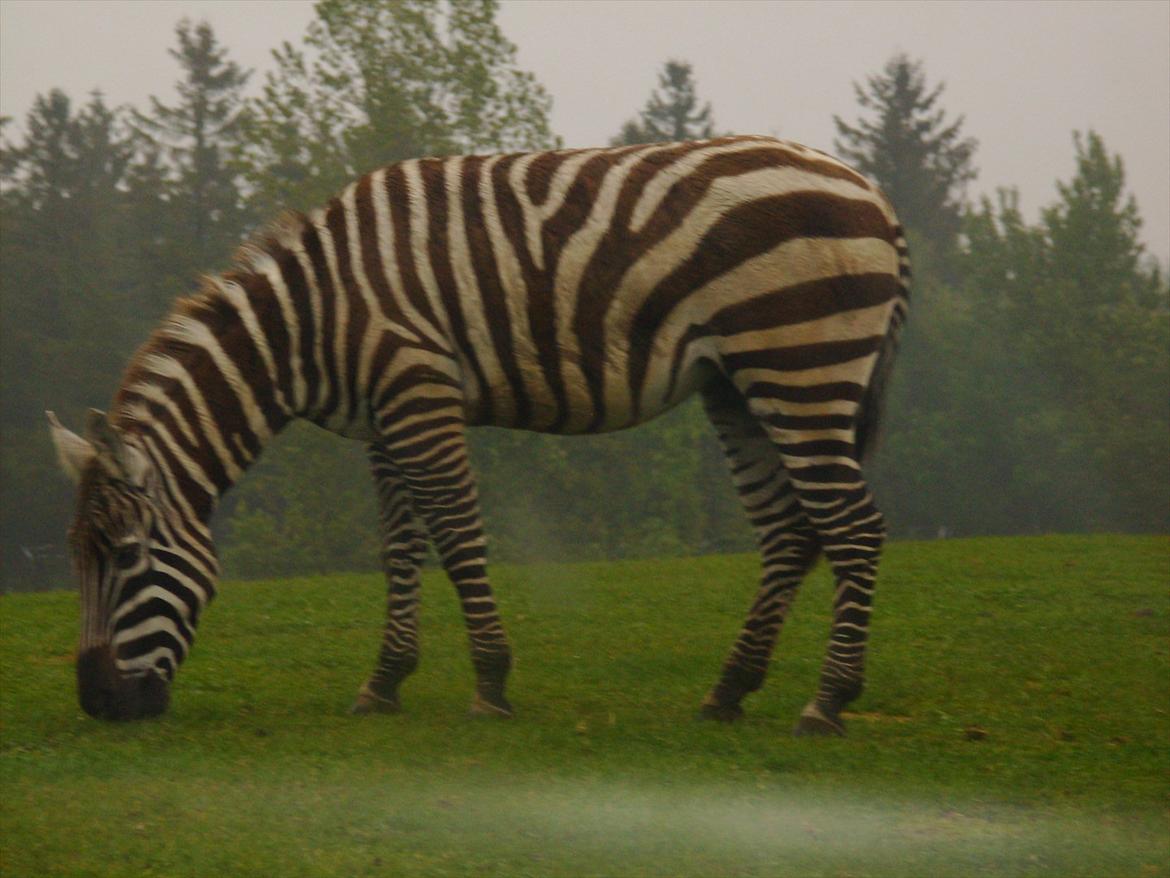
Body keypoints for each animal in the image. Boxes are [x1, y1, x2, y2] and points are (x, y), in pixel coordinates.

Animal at [48, 135, 909, 735]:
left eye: (126, 558)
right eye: (79, 560)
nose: (97, 704)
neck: (310, 322)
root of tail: (871, 190)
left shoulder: (419, 392)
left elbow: (458, 537)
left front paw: (491, 683)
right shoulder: (383, 419)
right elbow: (400, 548)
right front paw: (385, 681)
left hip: (799, 363)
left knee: (853, 526)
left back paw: (827, 702)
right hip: (738, 385)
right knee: (791, 532)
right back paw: (730, 691)